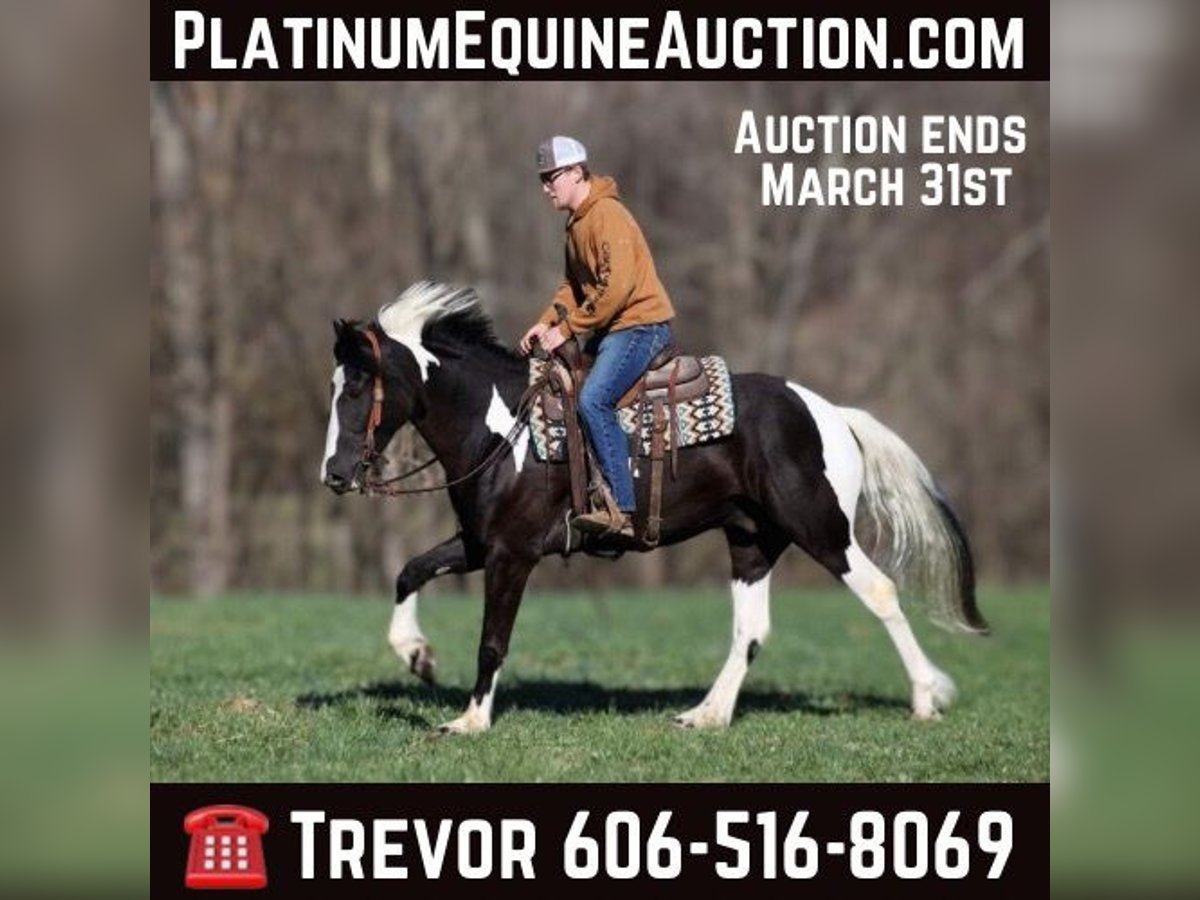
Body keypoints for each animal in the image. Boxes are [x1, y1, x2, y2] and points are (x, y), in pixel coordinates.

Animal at [321, 282, 984, 734]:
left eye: (355, 386)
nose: (333, 473)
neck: (504, 429)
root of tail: (831, 413)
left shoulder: (512, 553)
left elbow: (492, 639)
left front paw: (470, 720)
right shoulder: (480, 544)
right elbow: (409, 572)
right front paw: (418, 656)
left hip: (823, 529)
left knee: (881, 592)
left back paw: (926, 699)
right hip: (752, 539)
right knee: (751, 629)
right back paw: (706, 714)